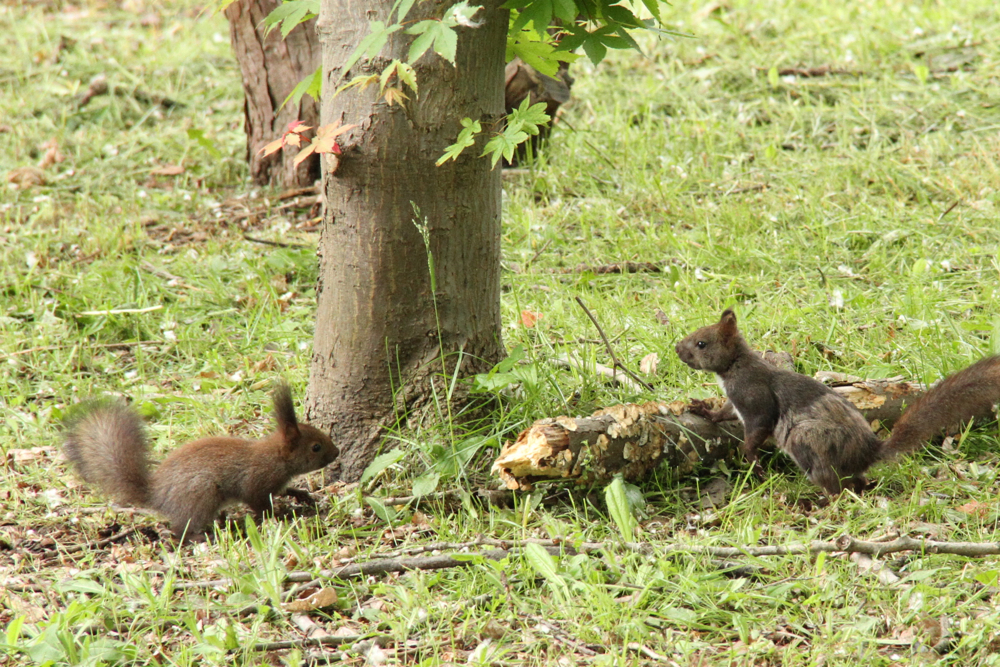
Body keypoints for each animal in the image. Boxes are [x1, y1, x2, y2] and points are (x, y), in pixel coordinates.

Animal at [66, 384, 342, 540]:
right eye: (316, 447)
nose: (337, 453)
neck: (275, 457)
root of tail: (156, 495)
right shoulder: (257, 482)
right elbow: (260, 503)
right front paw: (282, 514)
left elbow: (285, 490)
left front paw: (300, 495)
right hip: (201, 493)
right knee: (180, 529)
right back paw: (199, 536)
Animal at [672, 310, 1000, 494]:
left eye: (701, 343)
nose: (676, 349)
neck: (734, 366)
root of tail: (866, 453)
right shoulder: (736, 400)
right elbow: (725, 413)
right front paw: (704, 410)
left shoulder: (754, 398)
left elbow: (757, 428)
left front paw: (752, 459)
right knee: (855, 483)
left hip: (807, 439)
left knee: (834, 485)